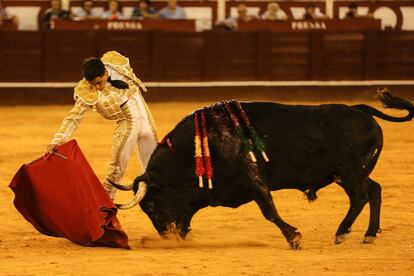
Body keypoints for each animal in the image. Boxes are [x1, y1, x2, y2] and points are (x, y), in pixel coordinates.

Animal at [111, 90, 414, 248]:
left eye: (151, 207)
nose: (166, 236)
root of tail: (361, 109)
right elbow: (189, 213)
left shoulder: (253, 180)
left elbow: (269, 211)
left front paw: (294, 237)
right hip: (352, 173)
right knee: (374, 190)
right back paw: (369, 234)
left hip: (349, 172)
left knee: (360, 197)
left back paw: (342, 232)